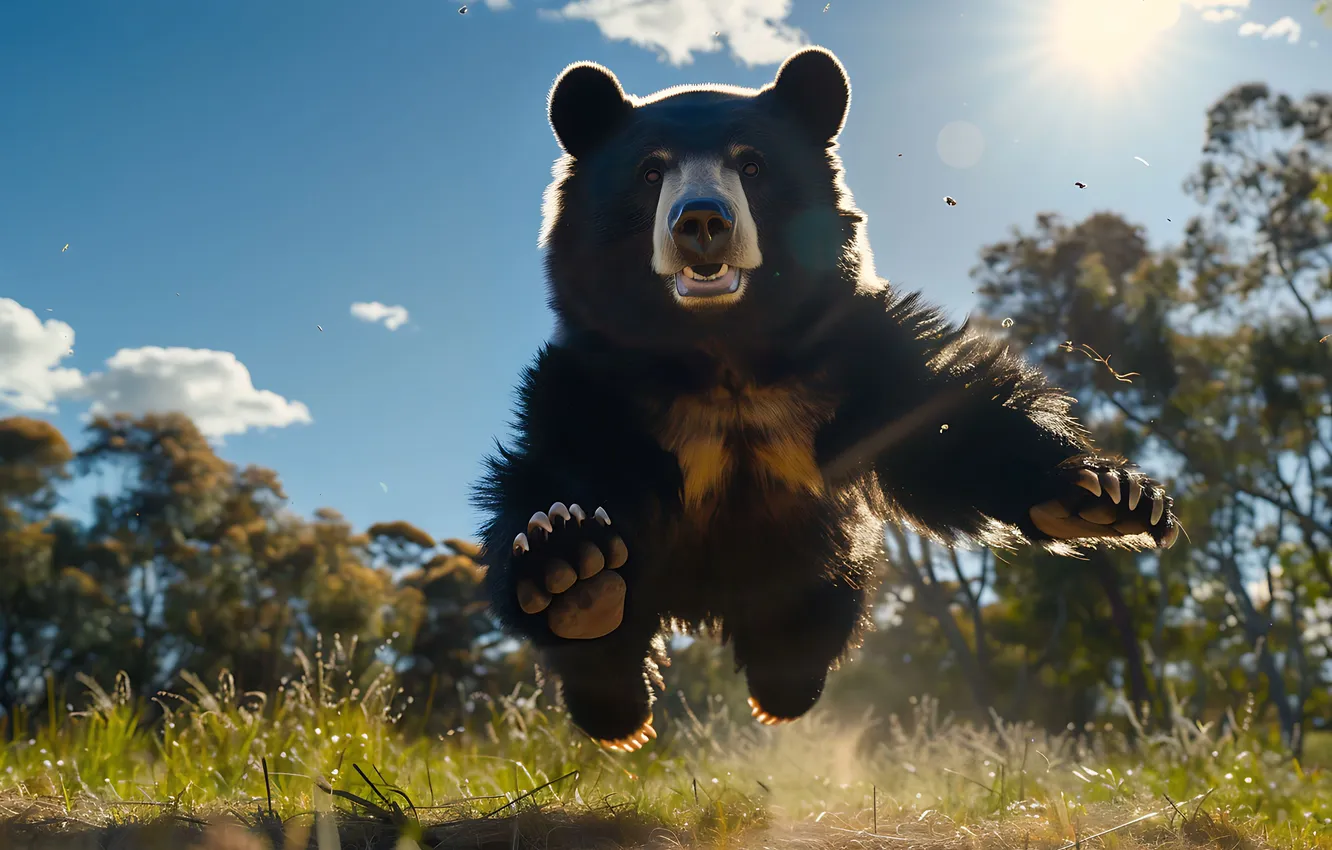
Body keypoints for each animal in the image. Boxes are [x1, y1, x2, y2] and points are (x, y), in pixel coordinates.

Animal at [472, 46, 1179, 752]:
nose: (702, 222)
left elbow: (945, 430)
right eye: (651, 172)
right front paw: (566, 553)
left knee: (798, 649)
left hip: (820, 575)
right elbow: (566, 467)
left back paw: (773, 687)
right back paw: (588, 611)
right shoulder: (597, 381)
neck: (720, 353)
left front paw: (1108, 497)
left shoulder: (853, 355)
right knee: (604, 629)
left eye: (751, 165)